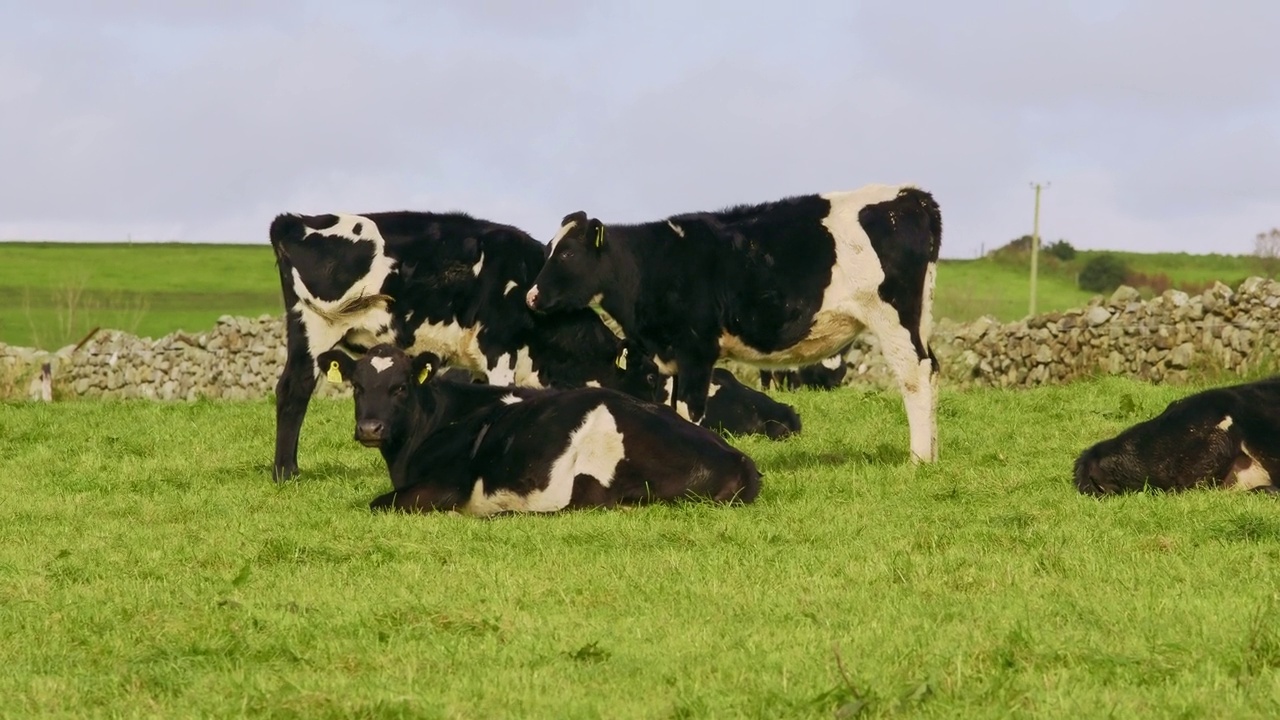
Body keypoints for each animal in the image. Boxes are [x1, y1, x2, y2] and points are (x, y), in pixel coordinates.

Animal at [316, 345, 762, 512]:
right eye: (358, 386)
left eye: (401, 387)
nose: (370, 427)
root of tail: (739, 459)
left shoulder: (445, 486)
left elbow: (378, 503)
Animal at [522, 180, 942, 458]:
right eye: (548, 249)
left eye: (567, 254)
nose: (532, 296)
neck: (654, 262)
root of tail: (911, 196)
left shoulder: (696, 350)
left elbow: (690, 410)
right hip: (920, 317)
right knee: (933, 369)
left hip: (894, 316)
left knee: (914, 376)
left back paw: (918, 459)